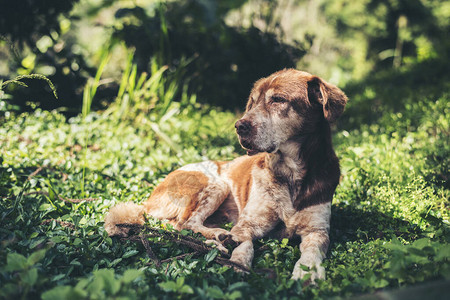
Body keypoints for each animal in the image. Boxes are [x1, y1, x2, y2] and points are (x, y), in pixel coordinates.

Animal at [105, 68, 348, 282]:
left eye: (278, 99)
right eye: (253, 102)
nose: (240, 126)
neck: (290, 173)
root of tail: (148, 200)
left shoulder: (318, 230)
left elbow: (312, 251)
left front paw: (309, 271)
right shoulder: (247, 224)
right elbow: (244, 243)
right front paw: (238, 262)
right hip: (215, 184)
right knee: (185, 223)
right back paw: (217, 239)